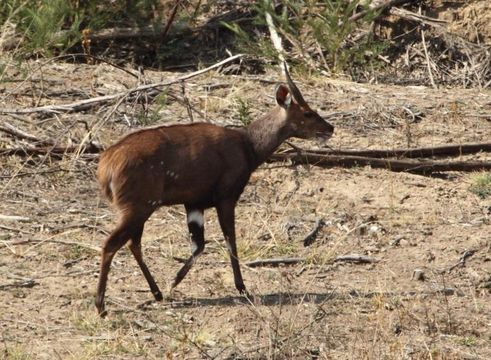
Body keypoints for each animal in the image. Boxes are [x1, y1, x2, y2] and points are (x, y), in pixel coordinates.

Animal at [95, 64, 334, 316]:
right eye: (308, 113)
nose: (330, 128)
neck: (248, 146)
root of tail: (106, 166)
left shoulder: (194, 203)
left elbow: (199, 245)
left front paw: (173, 282)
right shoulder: (227, 197)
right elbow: (230, 239)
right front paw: (241, 287)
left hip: (140, 208)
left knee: (133, 243)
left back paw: (156, 293)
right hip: (138, 206)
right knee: (111, 244)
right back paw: (101, 306)